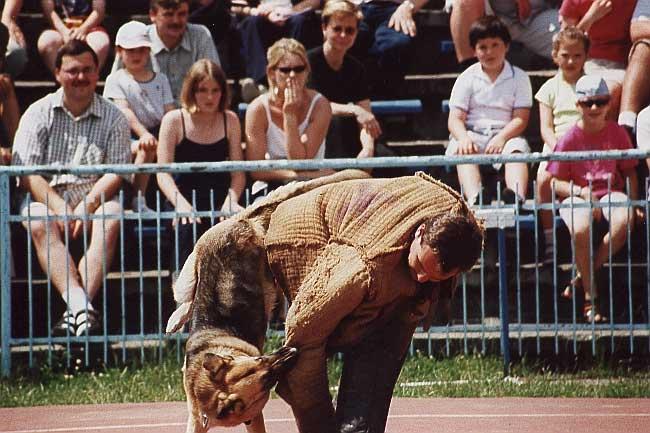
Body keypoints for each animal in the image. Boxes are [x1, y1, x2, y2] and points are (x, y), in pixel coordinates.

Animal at [167, 218, 298, 430]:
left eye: (258, 359)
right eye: (266, 377)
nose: (291, 350)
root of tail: (240, 222)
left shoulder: (255, 418)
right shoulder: (196, 418)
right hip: (190, 273)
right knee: (189, 296)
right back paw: (175, 319)